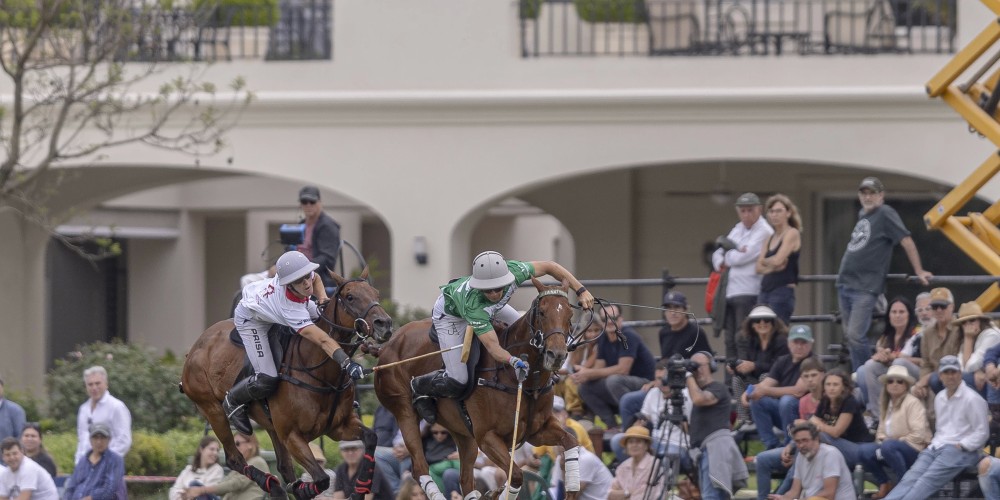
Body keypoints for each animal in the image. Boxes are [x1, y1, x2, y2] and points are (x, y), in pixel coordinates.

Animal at [182, 270, 392, 500]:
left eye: (376, 293)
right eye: (350, 296)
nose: (384, 324)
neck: (322, 373)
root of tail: (195, 348)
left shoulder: (338, 427)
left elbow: (371, 438)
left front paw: (358, 491)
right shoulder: (293, 436)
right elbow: (322, 478)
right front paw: (303, 489)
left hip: (270, 426)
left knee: (282, 466)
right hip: (213, 410)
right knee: (234, 458)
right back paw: (272, 484)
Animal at [376, 278, 584, 500]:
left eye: (570, 316)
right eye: (543, 312)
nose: (557, 355)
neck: (523, 382)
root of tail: (388, 344)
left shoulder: (537, 431)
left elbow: (570, 441)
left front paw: (572, 491)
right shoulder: (487, 437)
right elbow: (516, 475)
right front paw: (497, 493)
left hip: (463, 433)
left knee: (465, 479)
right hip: (404, 412)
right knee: (420, 467)